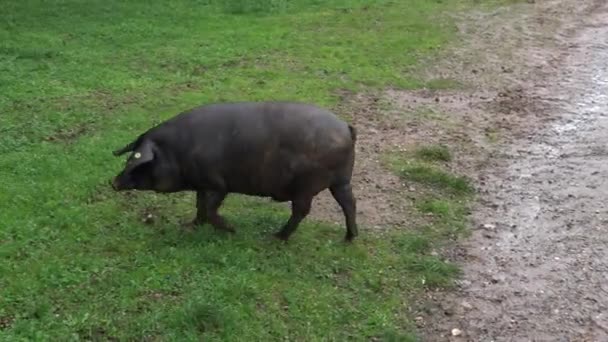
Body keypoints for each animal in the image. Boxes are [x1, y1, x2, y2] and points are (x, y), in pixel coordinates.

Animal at [111, 100, 358, 242]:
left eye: (139, 161)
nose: (113, 182)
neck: (177, 152)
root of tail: (346, 127)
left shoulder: (217, 184)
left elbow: (210, 209)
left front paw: (232, 230)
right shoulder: (202, 184)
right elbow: (199, 207)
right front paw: (189, 226)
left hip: (306, 186)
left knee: (302, 211)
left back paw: (276, 238)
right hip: (341, 180)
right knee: (349, 203)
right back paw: (349, 238)